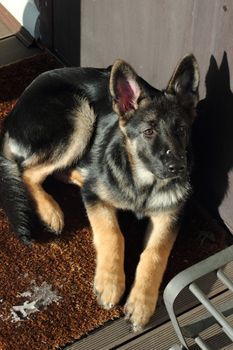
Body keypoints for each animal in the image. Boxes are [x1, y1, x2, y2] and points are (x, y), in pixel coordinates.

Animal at [0, 54, 198, 328]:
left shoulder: (169, 216)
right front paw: (110, 283)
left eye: (181, 130)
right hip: (79, 115)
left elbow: (154, 253)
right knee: (28, 172)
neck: (142, 183)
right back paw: (50, 211)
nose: (179, 168)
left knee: (58, 171)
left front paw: (141, 303)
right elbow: (113, 234)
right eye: (149, 132)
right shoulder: (96, 198)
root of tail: (14, 111)